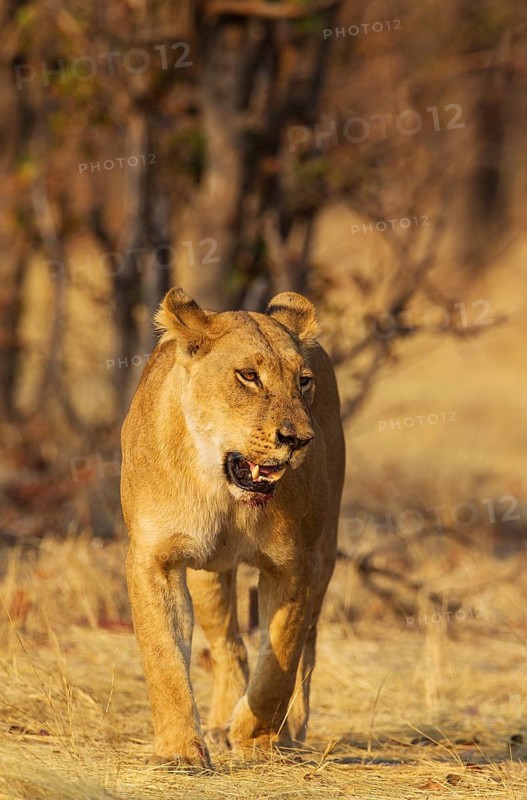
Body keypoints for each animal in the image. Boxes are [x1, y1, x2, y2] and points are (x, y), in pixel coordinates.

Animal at [121, 287, 345, 769]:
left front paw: (257, 740)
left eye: (303, 381)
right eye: (248, 377)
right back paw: (220, 722)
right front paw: (181, 750)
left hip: (327, 549)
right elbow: (164, 658)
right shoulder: (153, 559)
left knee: (308, 645)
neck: (224, 492)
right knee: (229, 646)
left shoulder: (297, 564)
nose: (299, 440)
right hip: (209, 576)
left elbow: (280, 660)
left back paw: (289, 730)